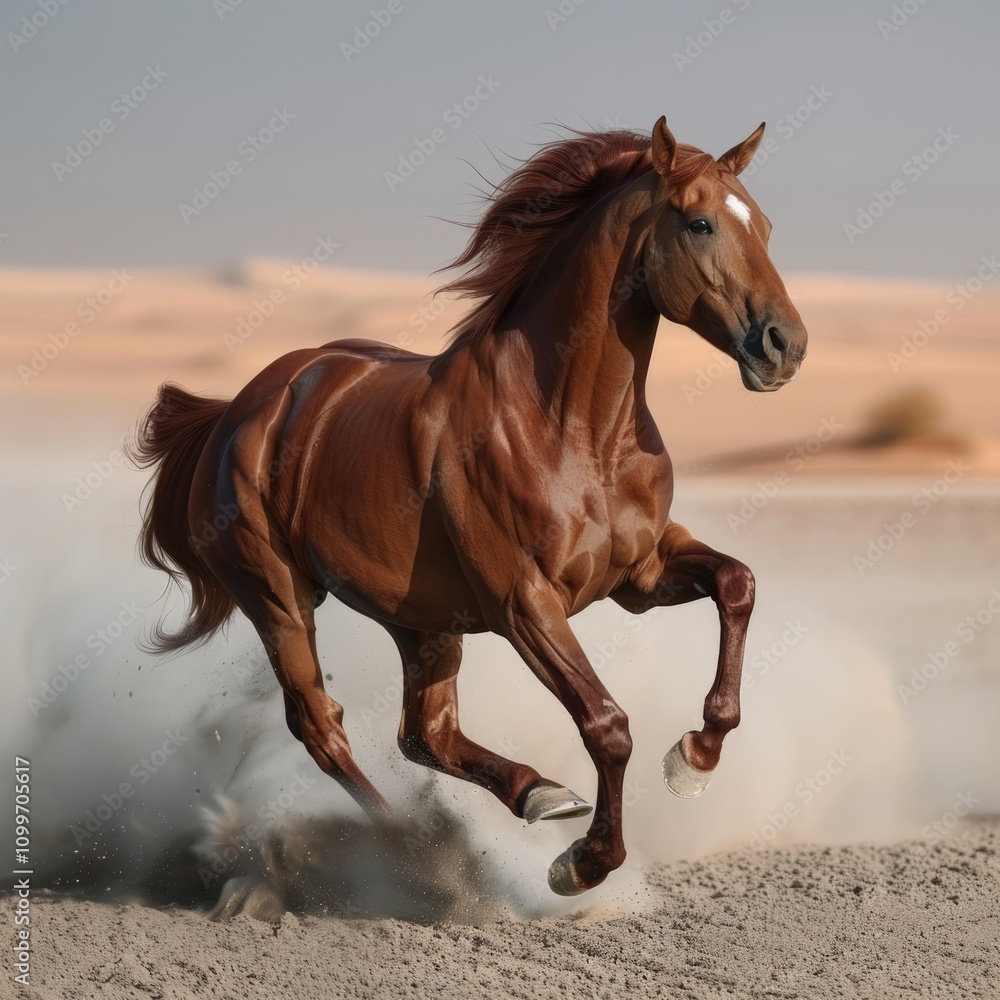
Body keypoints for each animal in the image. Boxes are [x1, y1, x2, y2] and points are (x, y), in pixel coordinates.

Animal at [130, 116, 807, 896]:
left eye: (764, 225)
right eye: (699, 223)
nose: (786, 345)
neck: (573, 428)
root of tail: (237, 410)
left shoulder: (638, 576)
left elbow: (736, 583)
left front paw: (694, 757)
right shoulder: (524, 604)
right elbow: (606, 724)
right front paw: (584, 864)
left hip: (420, 621)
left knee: (425, 733)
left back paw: (537, 793)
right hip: (278, 598)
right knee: (322, 726)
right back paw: (411, 846)